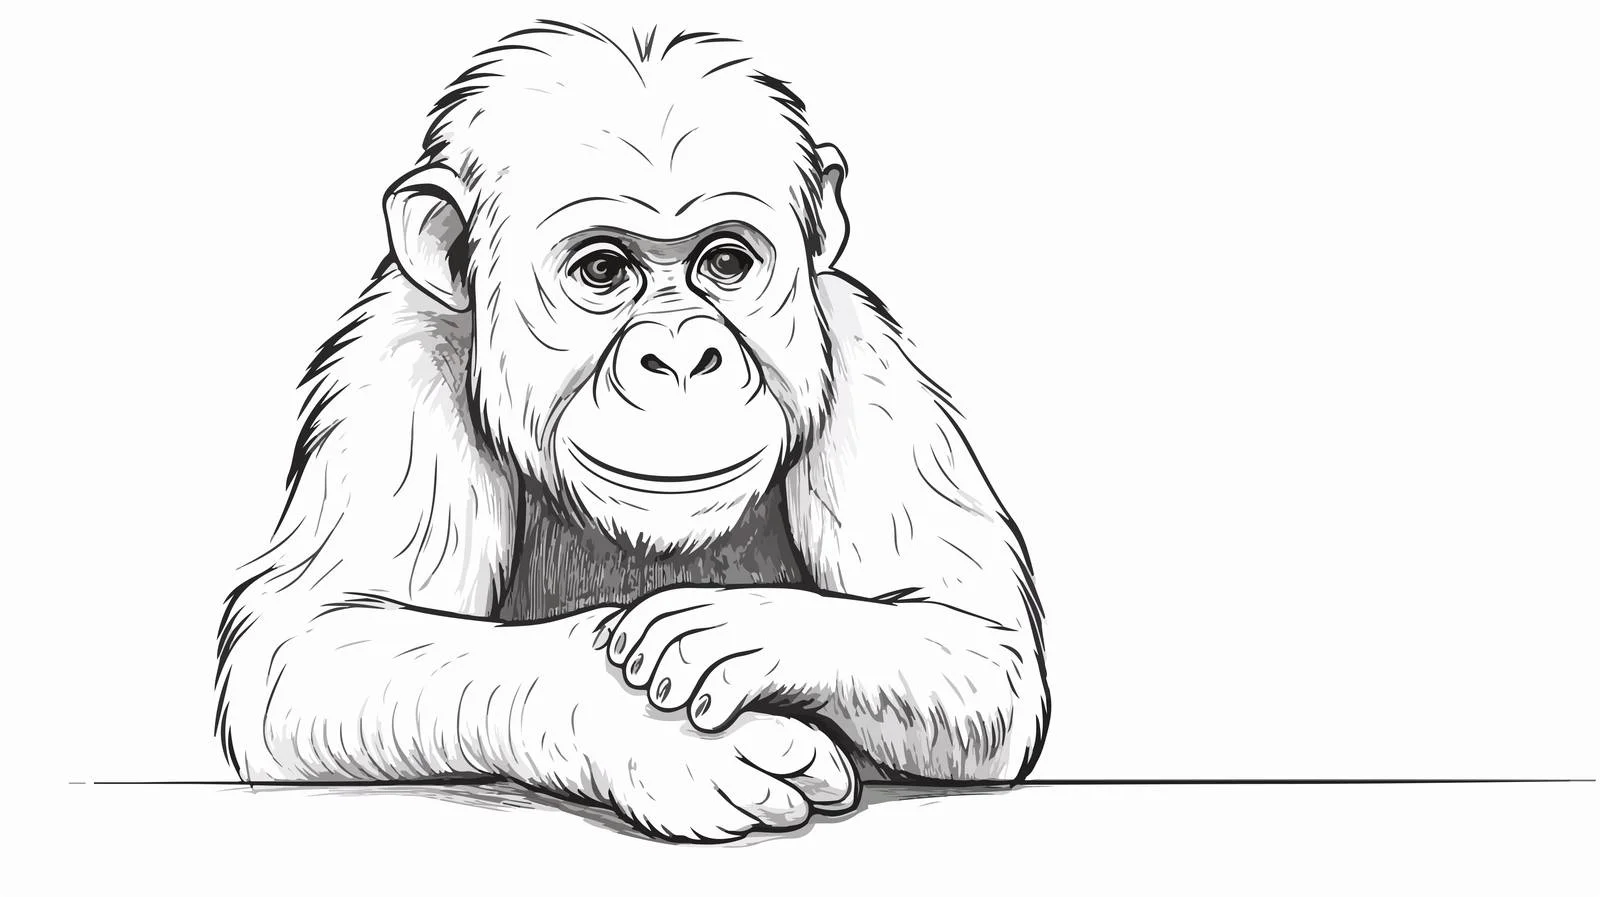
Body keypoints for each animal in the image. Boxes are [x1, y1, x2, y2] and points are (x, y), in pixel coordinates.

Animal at [216, 21, 1049, 843]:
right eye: (603, 270)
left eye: (726, 261)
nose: (680, 354)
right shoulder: (392, 362)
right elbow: (306, 639)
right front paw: (648, 734)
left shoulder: (870, 359)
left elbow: (981, 644)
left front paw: (753, 633)